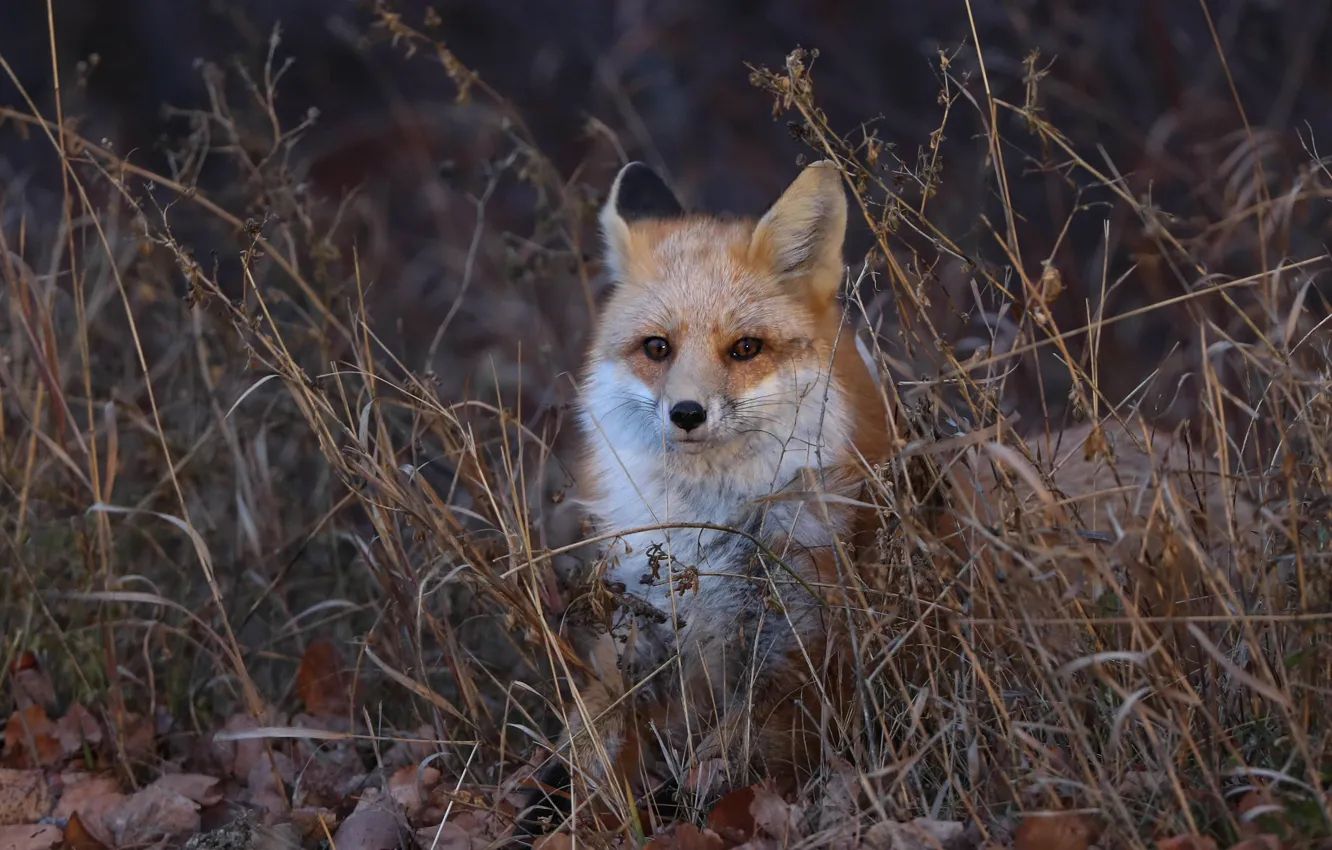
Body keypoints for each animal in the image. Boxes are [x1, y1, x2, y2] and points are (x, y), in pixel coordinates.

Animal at [512, 159, 893, 841]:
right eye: (657, 348)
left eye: (745, 348)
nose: (687, 413)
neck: (703, 529)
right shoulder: (636, 625)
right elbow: (591, 734)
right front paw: (564, 801)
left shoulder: (801, 644)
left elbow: (726, 762)